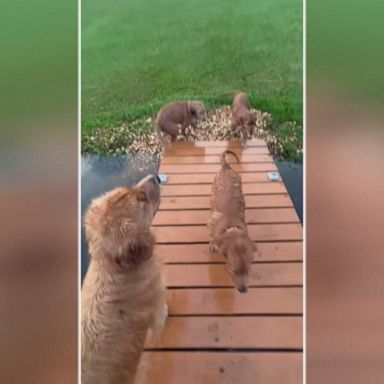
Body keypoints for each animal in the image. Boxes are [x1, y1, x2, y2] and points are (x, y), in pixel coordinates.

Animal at [206, 149, 256, 292]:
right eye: (234, 270)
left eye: (249, 269)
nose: (243, 290)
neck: (231, 228)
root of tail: (226, 166)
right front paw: (212, 243)